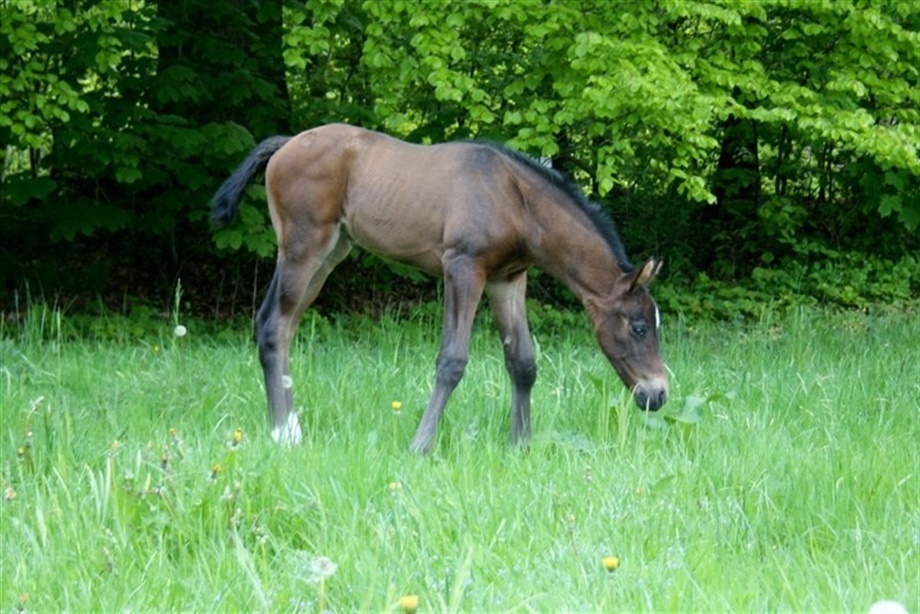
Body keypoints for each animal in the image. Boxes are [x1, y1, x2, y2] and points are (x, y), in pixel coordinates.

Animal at [212, 124, 668, 452]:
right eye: (639, 326)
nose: (658, 394)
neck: (517, 201)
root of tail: (286, 144)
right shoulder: (463, 268)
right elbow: (452, 360)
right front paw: (420, 446)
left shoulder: (507, 279)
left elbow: (522, 362)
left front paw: (520, 446)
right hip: (303, 248)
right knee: (274, 326)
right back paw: (282, 434)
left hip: (329, 254)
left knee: (282, 326)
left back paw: (291, 427)